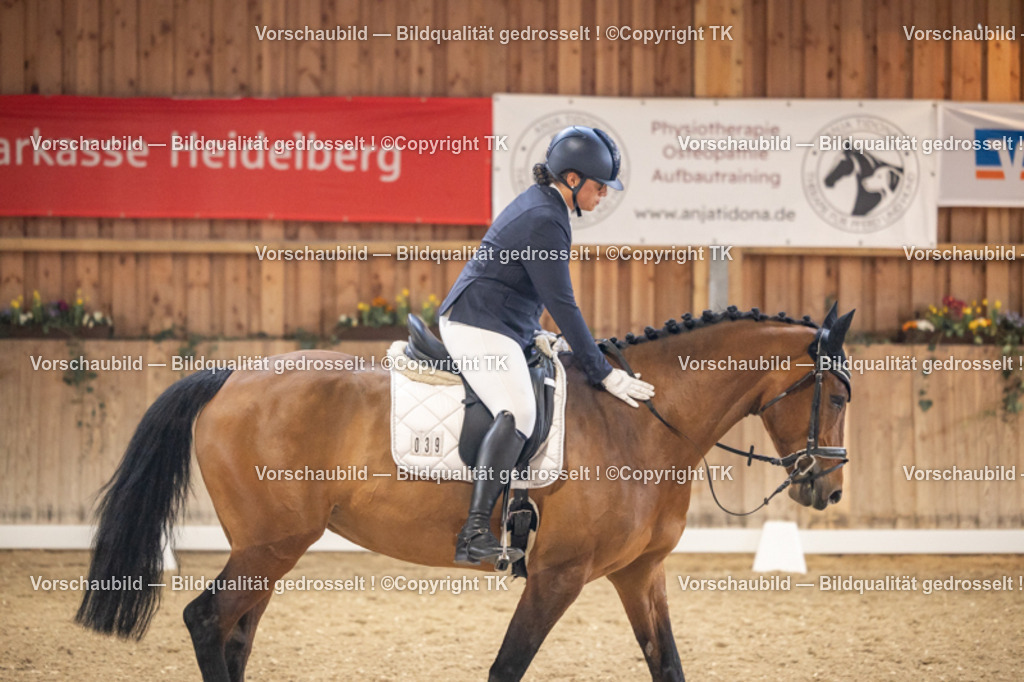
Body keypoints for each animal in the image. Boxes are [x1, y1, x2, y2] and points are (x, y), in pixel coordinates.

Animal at [76, 304, 855, 682]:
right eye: (840, 394)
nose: (828, 486)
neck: (642, 421)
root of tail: (229, 377)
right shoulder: (557, 574)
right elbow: (507, 666)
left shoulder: (639, 574)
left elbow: (669, 666)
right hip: (271, 545)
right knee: (209, 622)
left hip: (268, 550)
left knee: (234, 634)